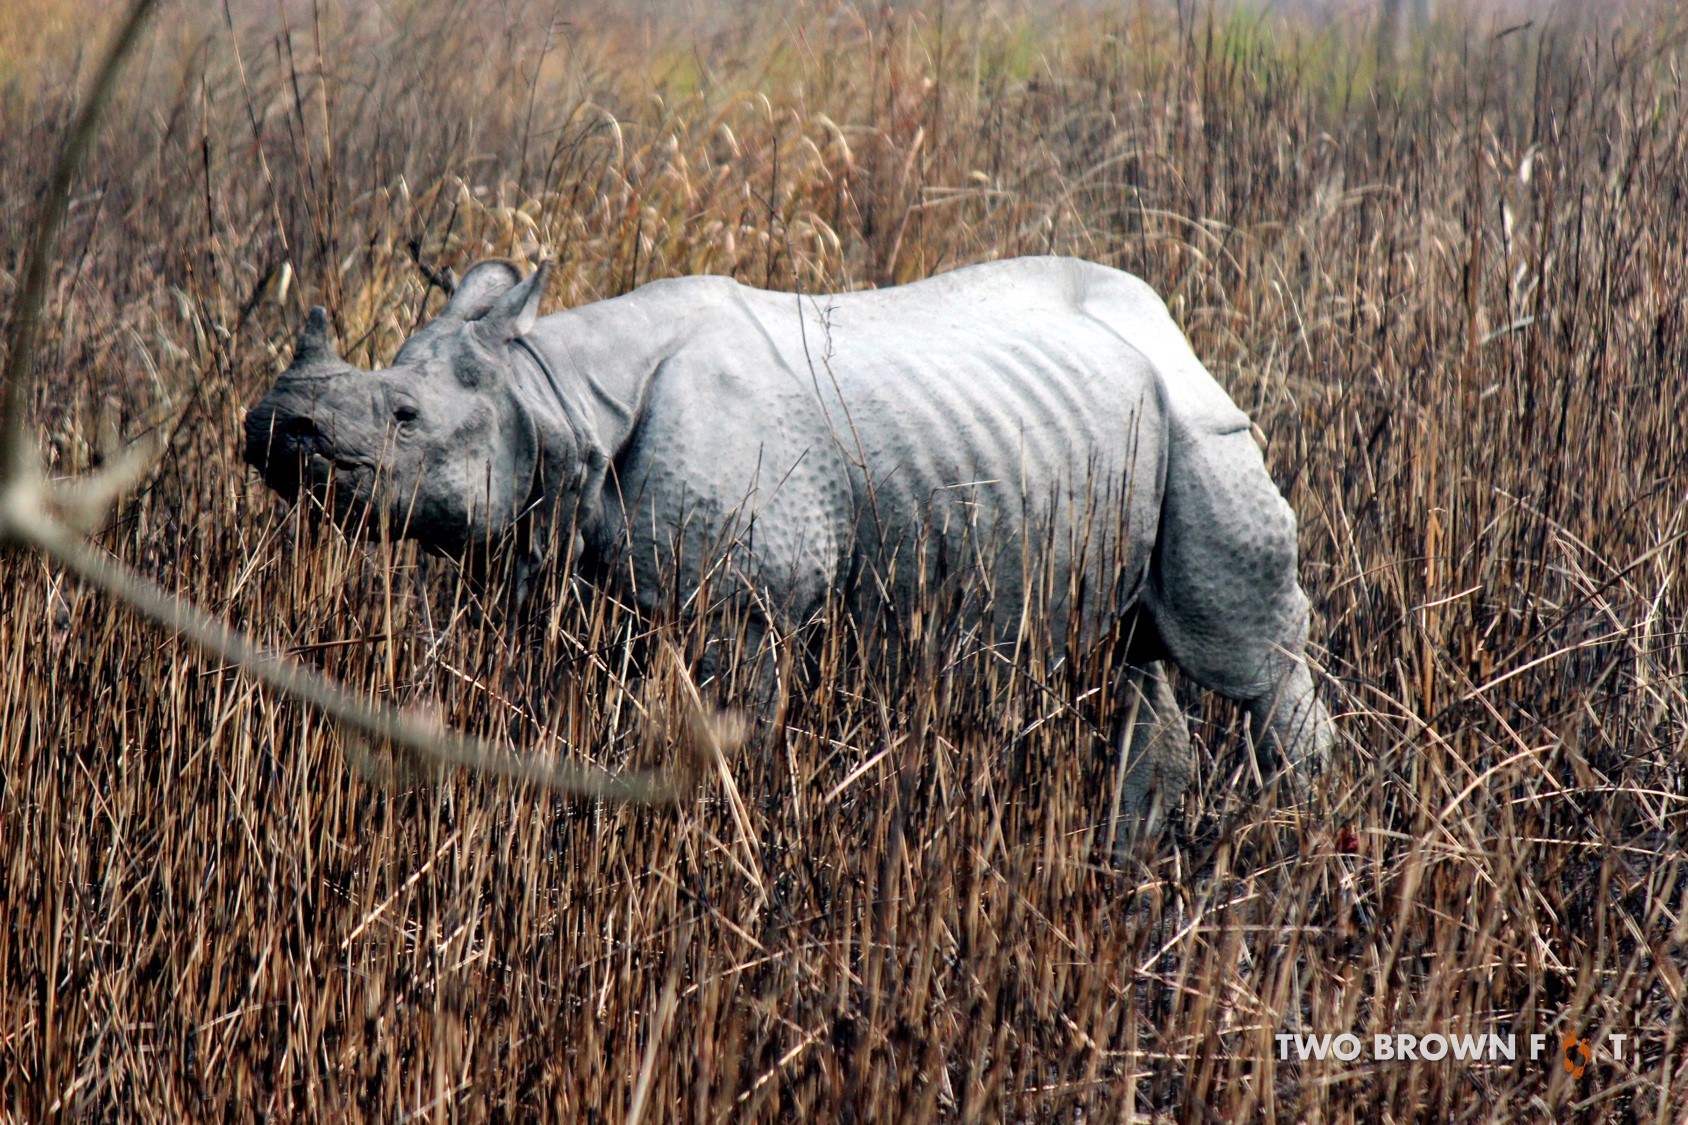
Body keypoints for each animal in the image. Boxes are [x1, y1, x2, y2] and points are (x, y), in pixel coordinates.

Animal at [244, 255, 1334, 828]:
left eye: (404, 418)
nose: (270, 426)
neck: (554, 392)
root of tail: (1169, 327)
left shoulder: (742, 605)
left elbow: (727, 725)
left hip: (1200, 425)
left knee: (1242, 654)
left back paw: (1309, 831)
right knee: (1130, 656)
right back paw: (1135, 855)